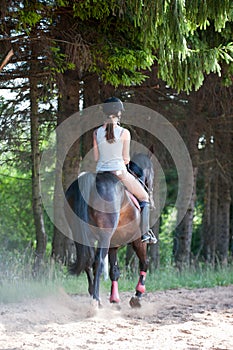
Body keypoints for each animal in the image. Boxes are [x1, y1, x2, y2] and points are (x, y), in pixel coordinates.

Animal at [64, 153, 154, 308]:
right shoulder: (137, 241)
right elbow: (145, 262)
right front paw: (137, 295)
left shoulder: (114, 244)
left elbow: (114, 271)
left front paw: (115, 299)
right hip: (106, 237)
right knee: (97, 261)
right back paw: (96, 299)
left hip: (81, 235)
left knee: (87, 259)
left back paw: (94, 294)